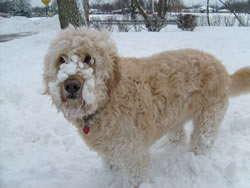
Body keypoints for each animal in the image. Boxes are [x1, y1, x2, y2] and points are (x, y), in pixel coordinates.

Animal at [43, 25, 250, 187]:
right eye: (61, 59)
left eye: (89, 59)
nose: (71, 84)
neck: (106, 102)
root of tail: (223, 69)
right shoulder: (109, 149)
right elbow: (110, 164)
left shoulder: (132, 153)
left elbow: (135, 177)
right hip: (175, 115)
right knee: (178, 135)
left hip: (208, 119)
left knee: (202, 141)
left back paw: (196, 158)